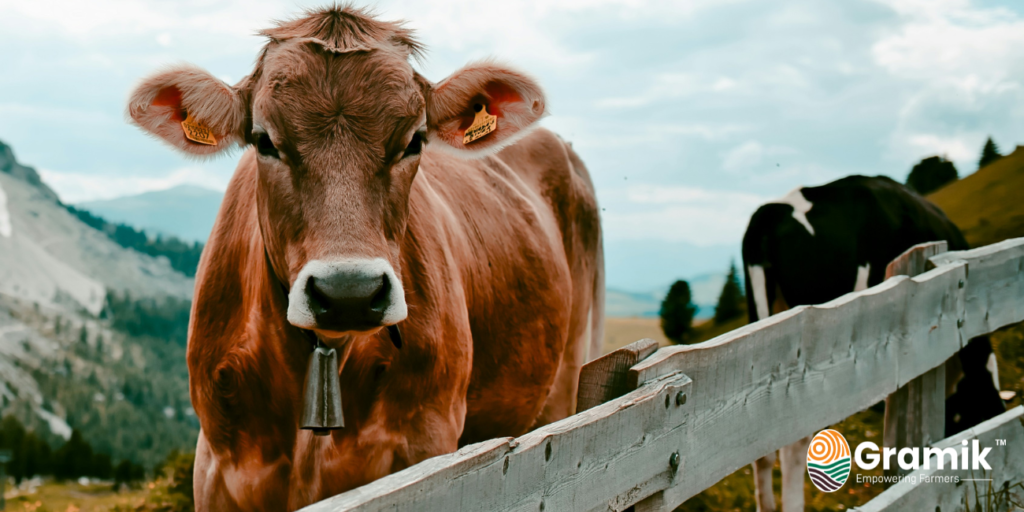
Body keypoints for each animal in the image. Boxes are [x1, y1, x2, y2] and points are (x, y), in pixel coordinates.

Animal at [130, 4, 606, 512]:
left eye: (415, 140)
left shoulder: (429, 448)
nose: (349, 294)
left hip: (562, 385)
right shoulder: (216, 468)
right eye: (264, 141)